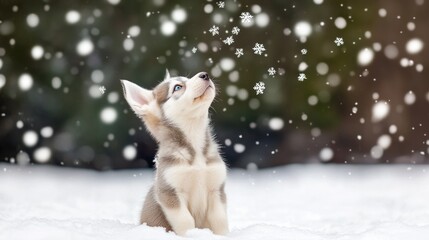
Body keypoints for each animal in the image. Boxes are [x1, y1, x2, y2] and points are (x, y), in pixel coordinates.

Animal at [119, 70, 227, 235]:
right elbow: (186, 220)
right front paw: (191, 235)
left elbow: (220, 220)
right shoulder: (169, 193)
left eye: (187, 79)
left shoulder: (217, 189)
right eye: (177, 87)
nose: (205, 74)